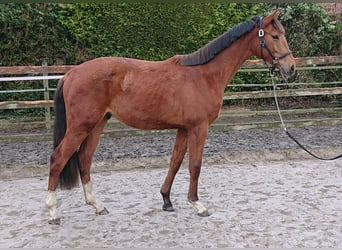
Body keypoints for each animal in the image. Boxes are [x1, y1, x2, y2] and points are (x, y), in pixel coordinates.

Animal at [46, 10, 296, 225]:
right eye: (275, 36)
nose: (291, 67)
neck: (204, 75)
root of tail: (71, 73)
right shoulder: (198, 128)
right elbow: (195, 165)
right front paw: (197, 204)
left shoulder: (183, 128)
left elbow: (175, 162)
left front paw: (166, 200)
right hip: (81, 125)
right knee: (58, 158)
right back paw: (53, 212)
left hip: (97, 124)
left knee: (84, 159)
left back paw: (97, 205)